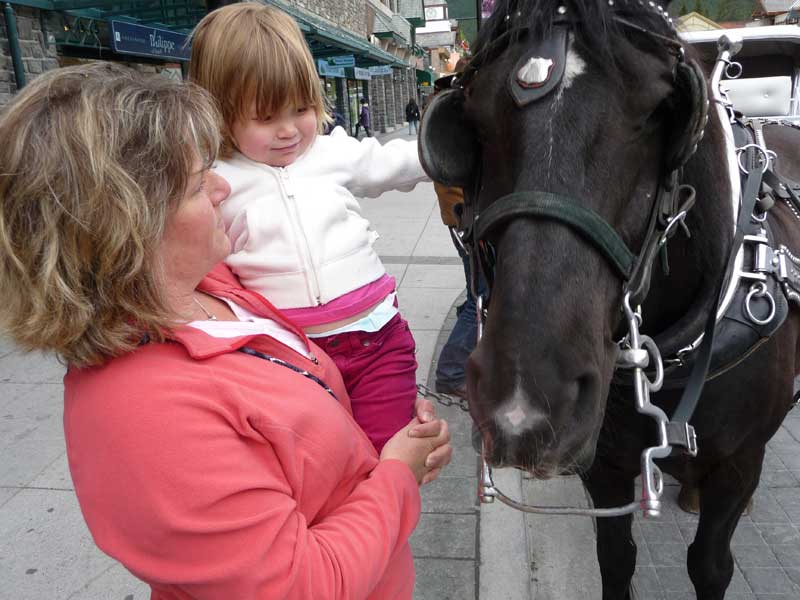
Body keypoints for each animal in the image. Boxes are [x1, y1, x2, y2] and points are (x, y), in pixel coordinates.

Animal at [418, 1, 800, 600]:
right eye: (473, 120)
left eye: (659, 110)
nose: (525, 401)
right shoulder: (605, 465)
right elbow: (615, 558)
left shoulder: (738, 465)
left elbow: (711, 565)